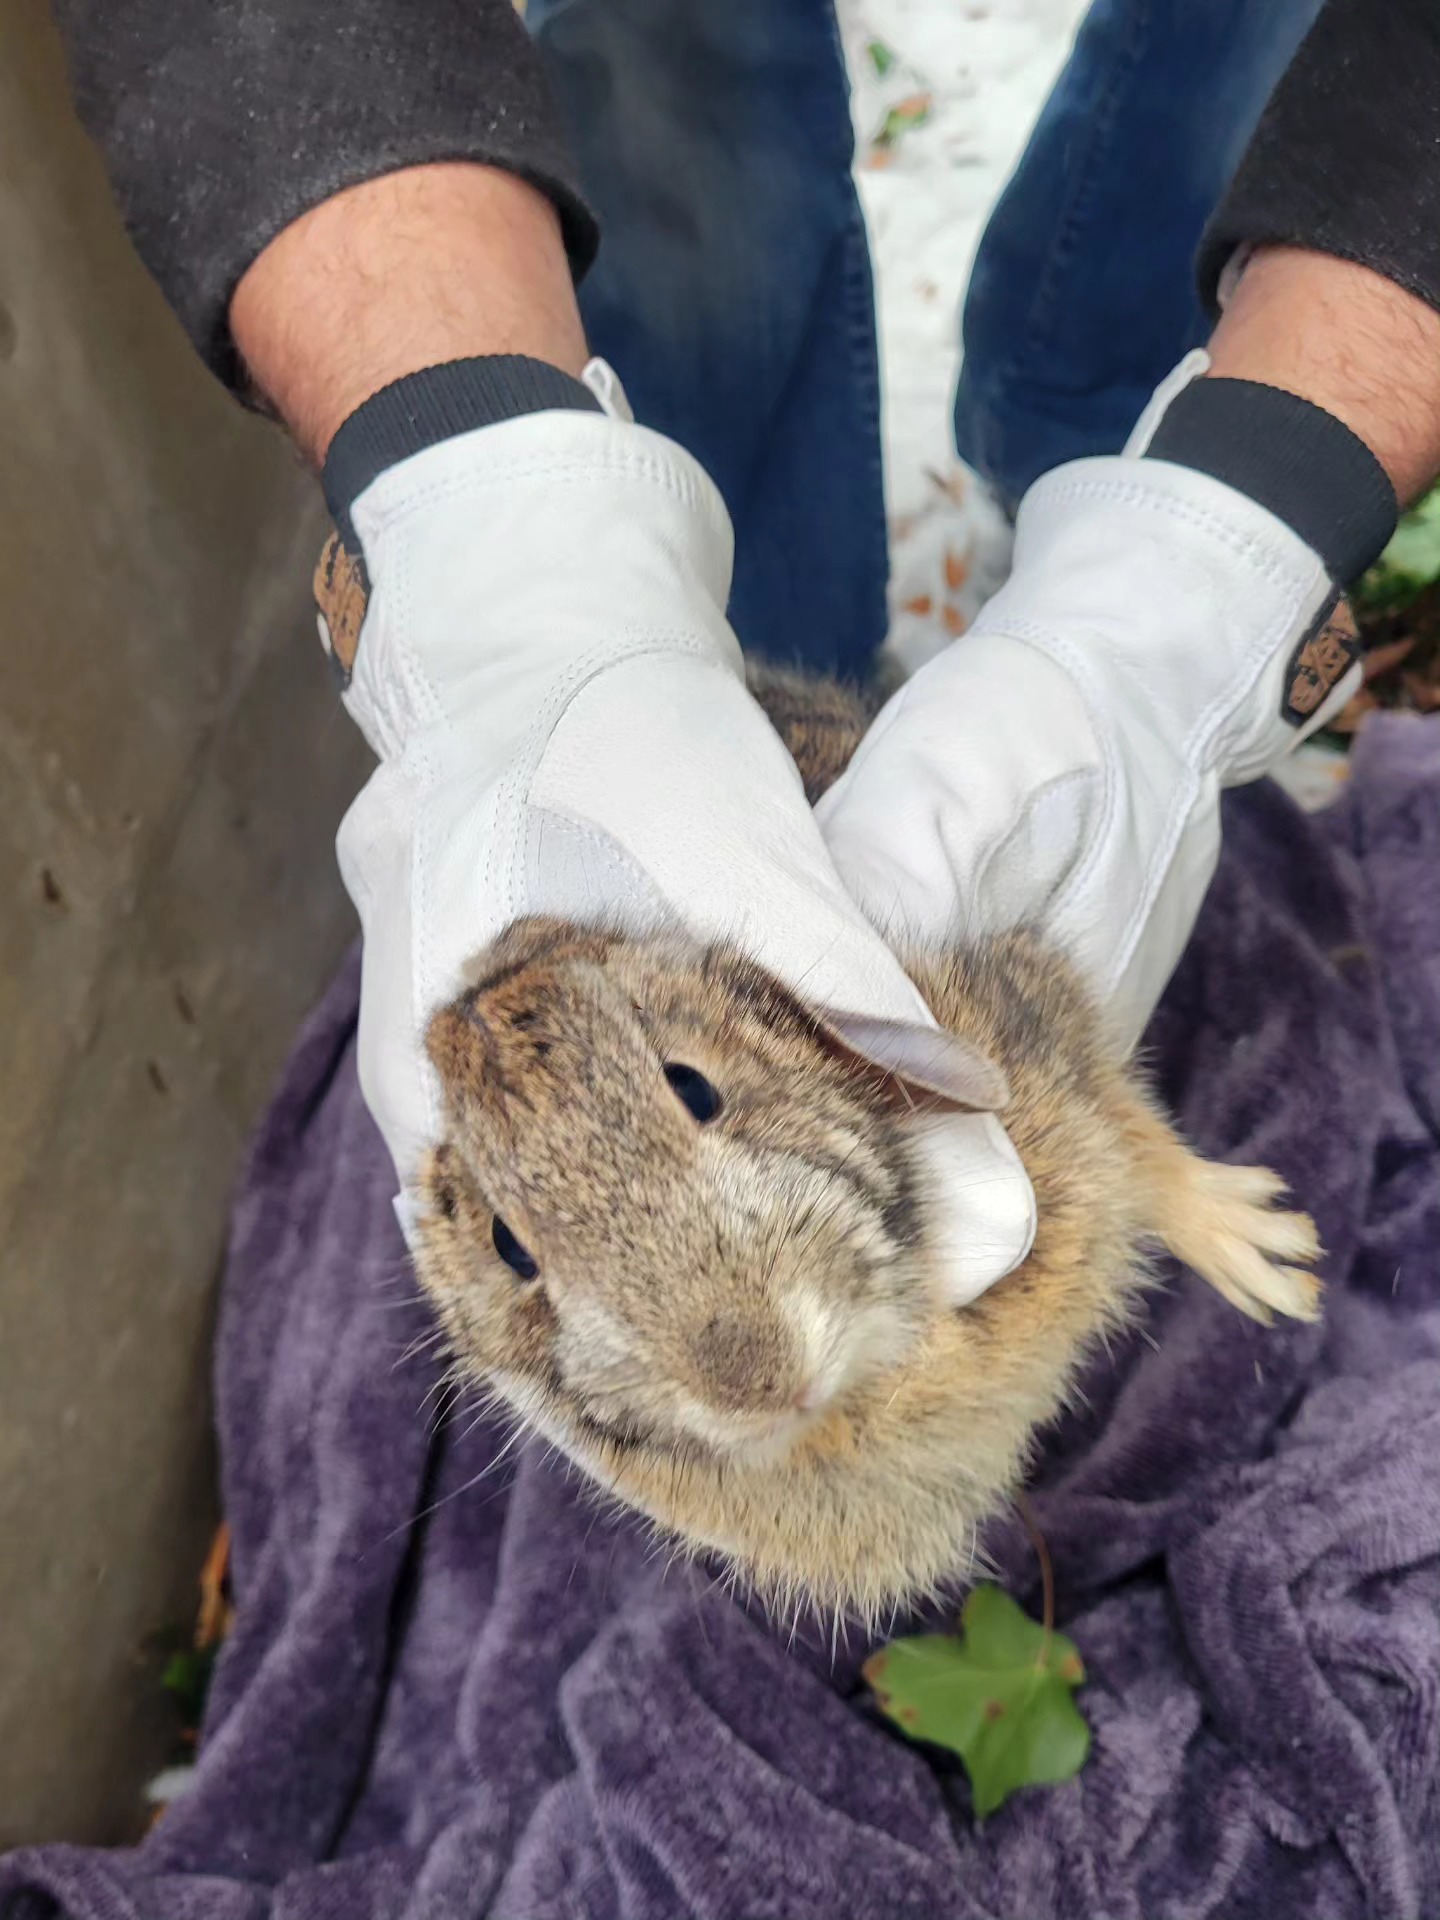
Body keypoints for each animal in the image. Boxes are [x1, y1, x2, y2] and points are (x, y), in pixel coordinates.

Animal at [411, 663, 1321, 1623]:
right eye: (510, 1249)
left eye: (693, 1087)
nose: (757, 1378)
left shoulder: (1036, 1023)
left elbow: (1135, 1140)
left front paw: (1267, 1255)